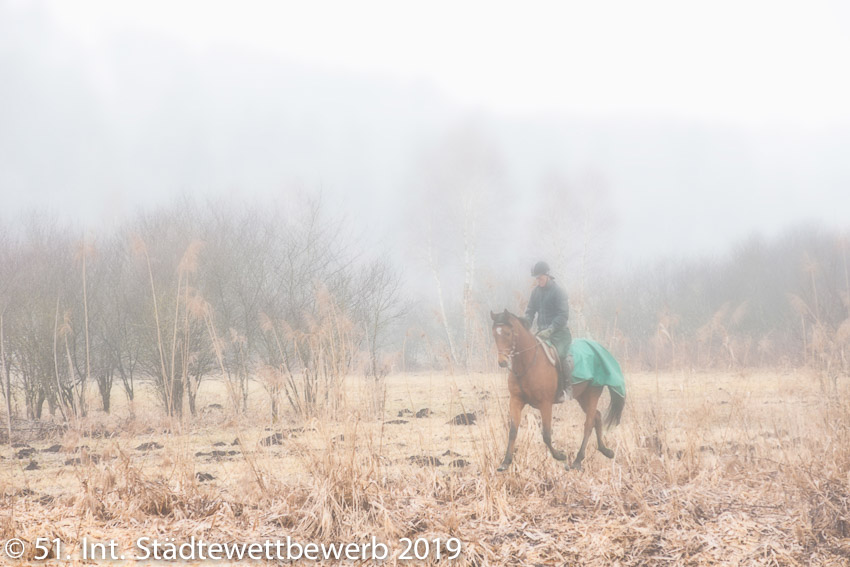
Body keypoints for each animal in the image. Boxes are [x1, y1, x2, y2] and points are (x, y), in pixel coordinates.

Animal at [490, 308, 624, 472]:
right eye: (495, 334)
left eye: (508, 333)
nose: (502, 362)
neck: (527, 363)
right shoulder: (516, 401)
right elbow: (513, 431)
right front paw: (506, 462)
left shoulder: (545, 404)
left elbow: (546, 435)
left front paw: (560, 455)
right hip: (582, 396)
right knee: (597, 417)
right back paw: (606, 451)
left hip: (593, 393)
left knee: (588, 424)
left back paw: (578, 460)